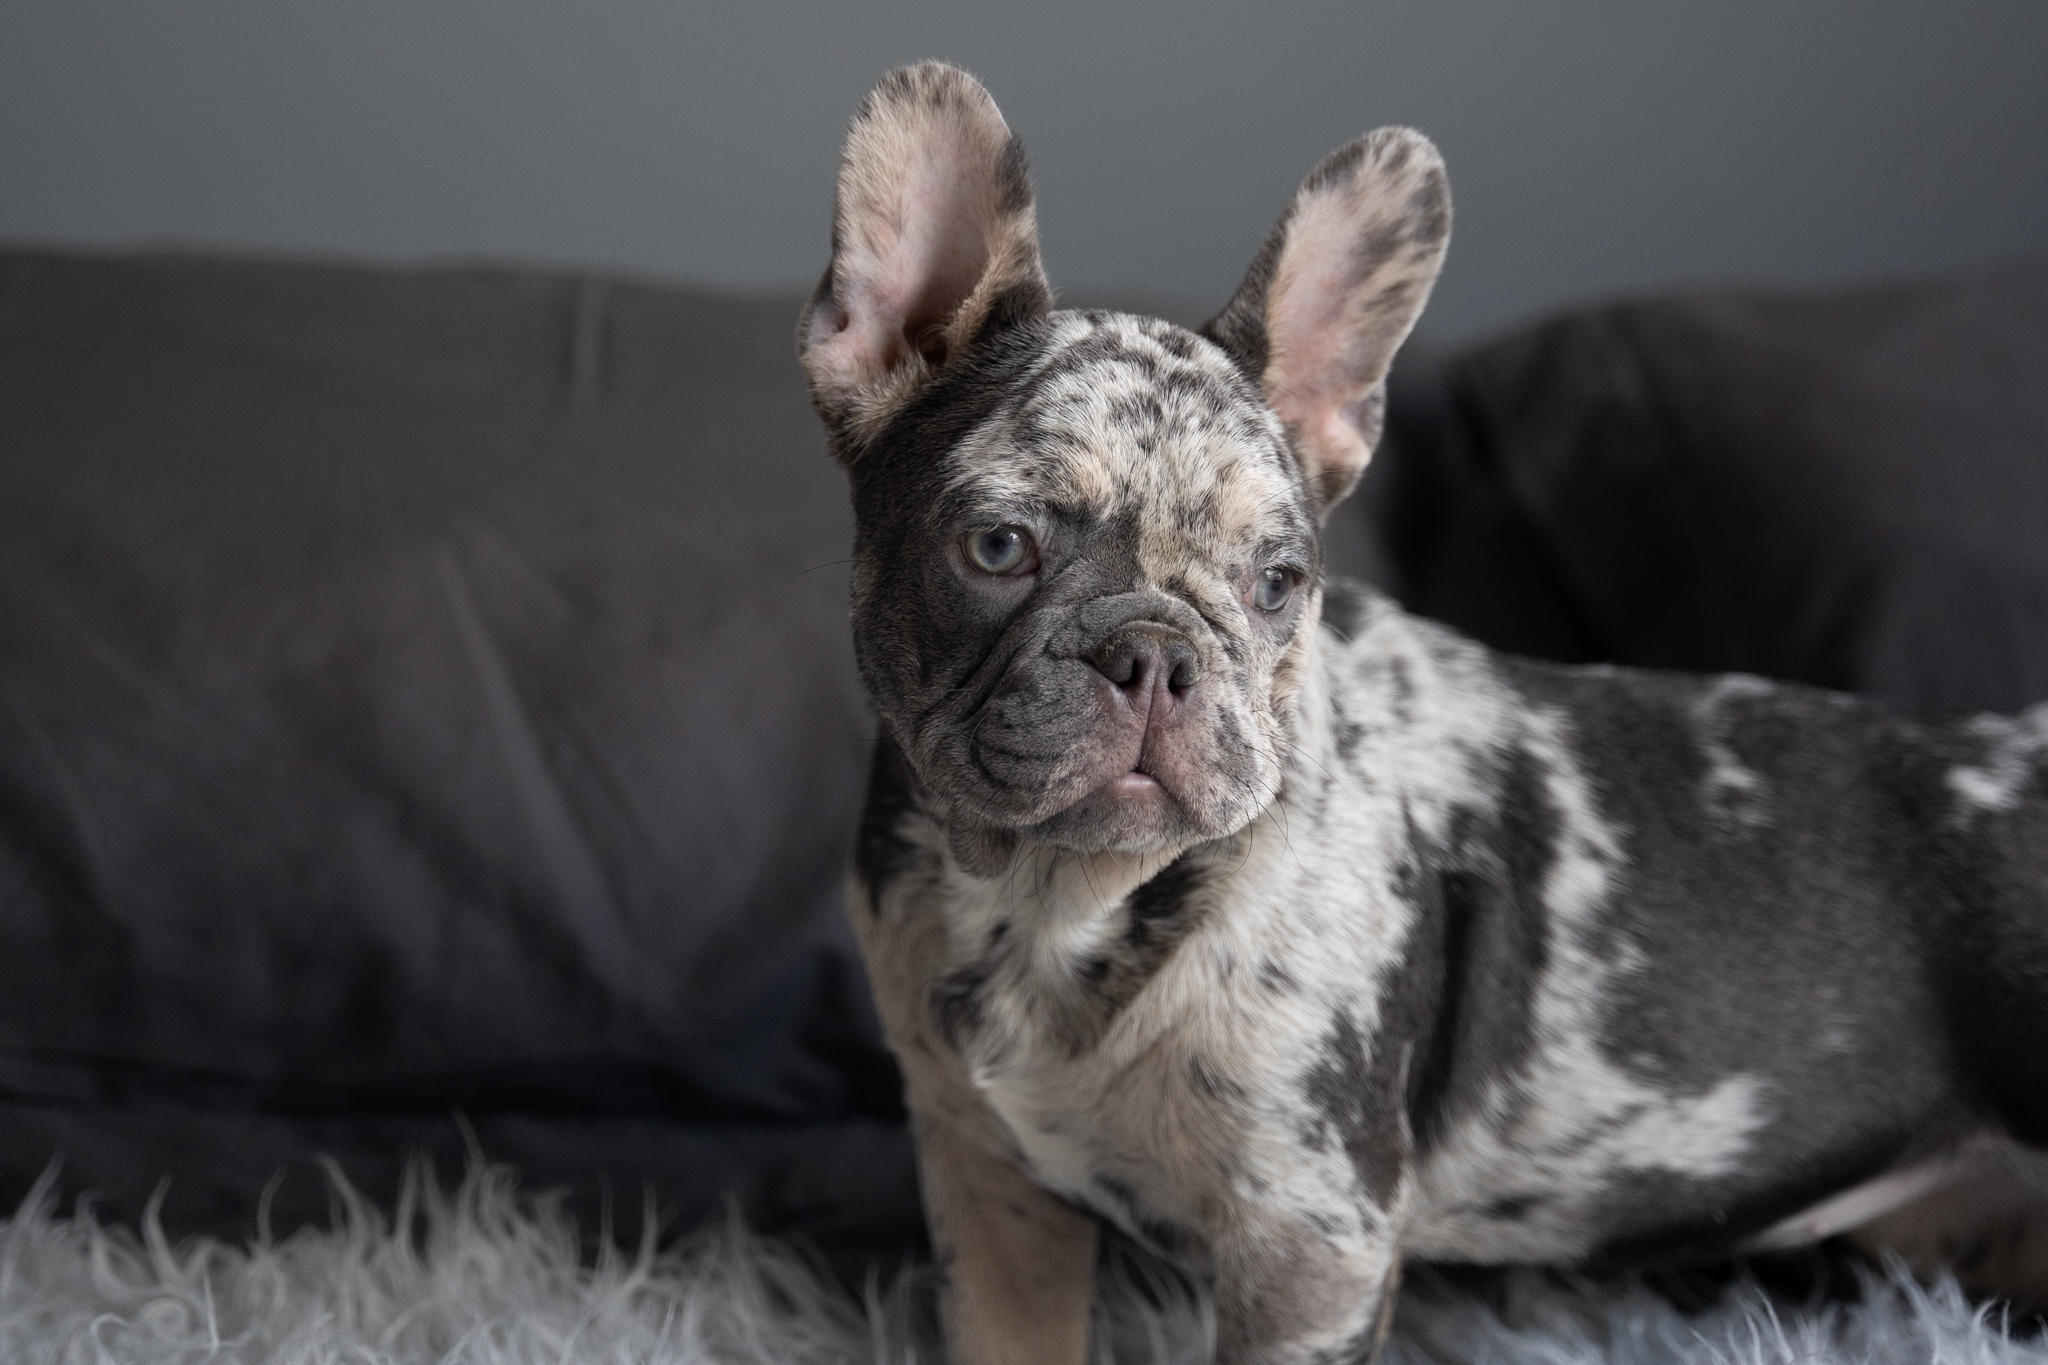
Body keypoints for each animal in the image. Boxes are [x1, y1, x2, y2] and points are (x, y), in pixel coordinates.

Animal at [790, 58, 2048, 1358]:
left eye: (1277, 582)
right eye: (998, 547)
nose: (1152, 653)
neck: (1055, 902)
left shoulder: (1306, 1242)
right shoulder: (989, 1189)